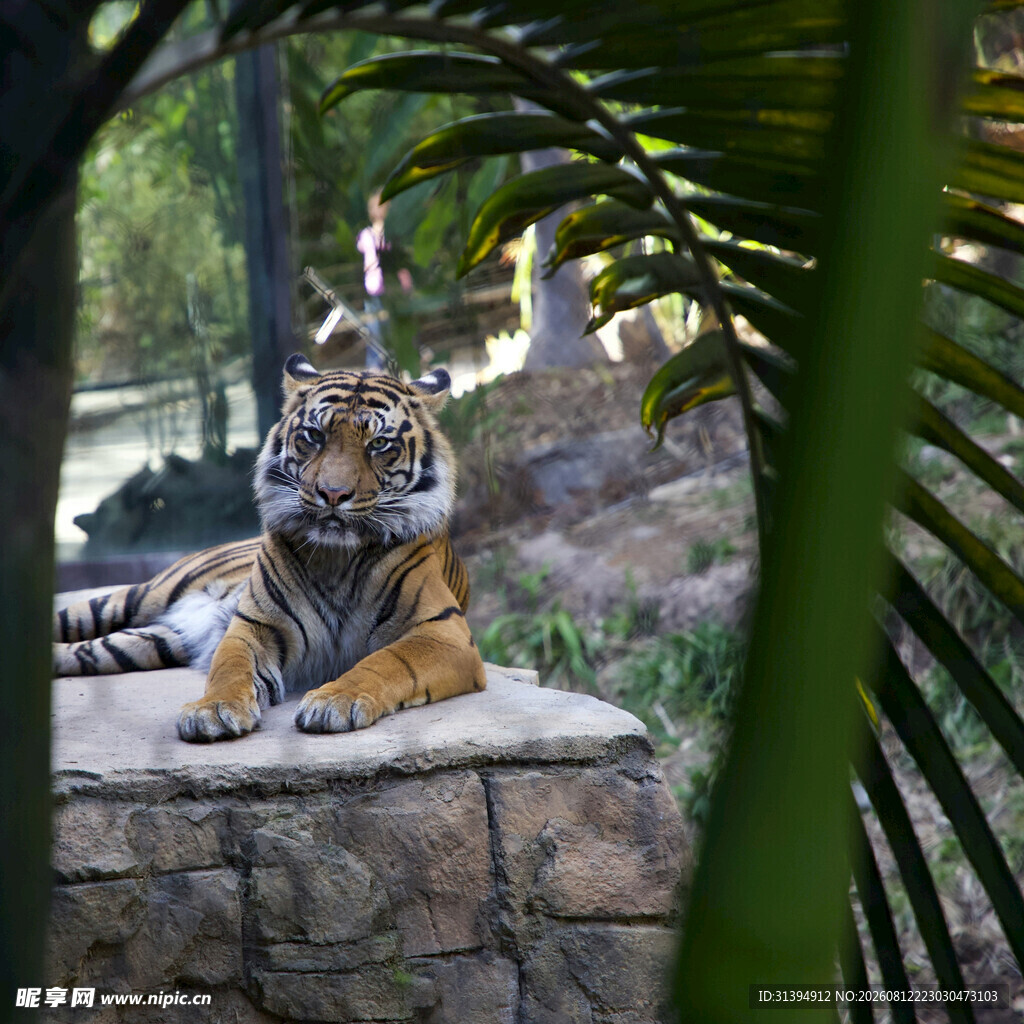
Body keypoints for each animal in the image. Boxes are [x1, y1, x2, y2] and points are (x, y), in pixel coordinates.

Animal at [53, 354, 487, 742]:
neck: (337, 558)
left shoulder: (443, 632)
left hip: (149, 641)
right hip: (136, 598)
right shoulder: (255, 624)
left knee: (84, 652)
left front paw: (334, 701)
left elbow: (385, 662)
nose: (333, 494)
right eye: (314, 436)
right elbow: (230, 668)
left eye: (379, 443)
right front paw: (213, 709)